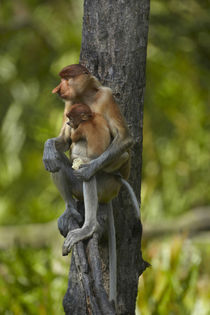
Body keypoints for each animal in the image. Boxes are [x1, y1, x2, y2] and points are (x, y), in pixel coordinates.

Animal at [43, 63, 136, 304]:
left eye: (66, 79)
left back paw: (88, 227)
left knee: (90, 176)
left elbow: (124, 138)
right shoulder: (69, 104)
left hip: (109, 186)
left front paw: (88, 166)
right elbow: (62, 142)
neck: (86, 96)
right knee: (57, 162)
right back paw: (70, 210)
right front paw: (48, 148)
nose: (57, 89)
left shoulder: (106, 96)